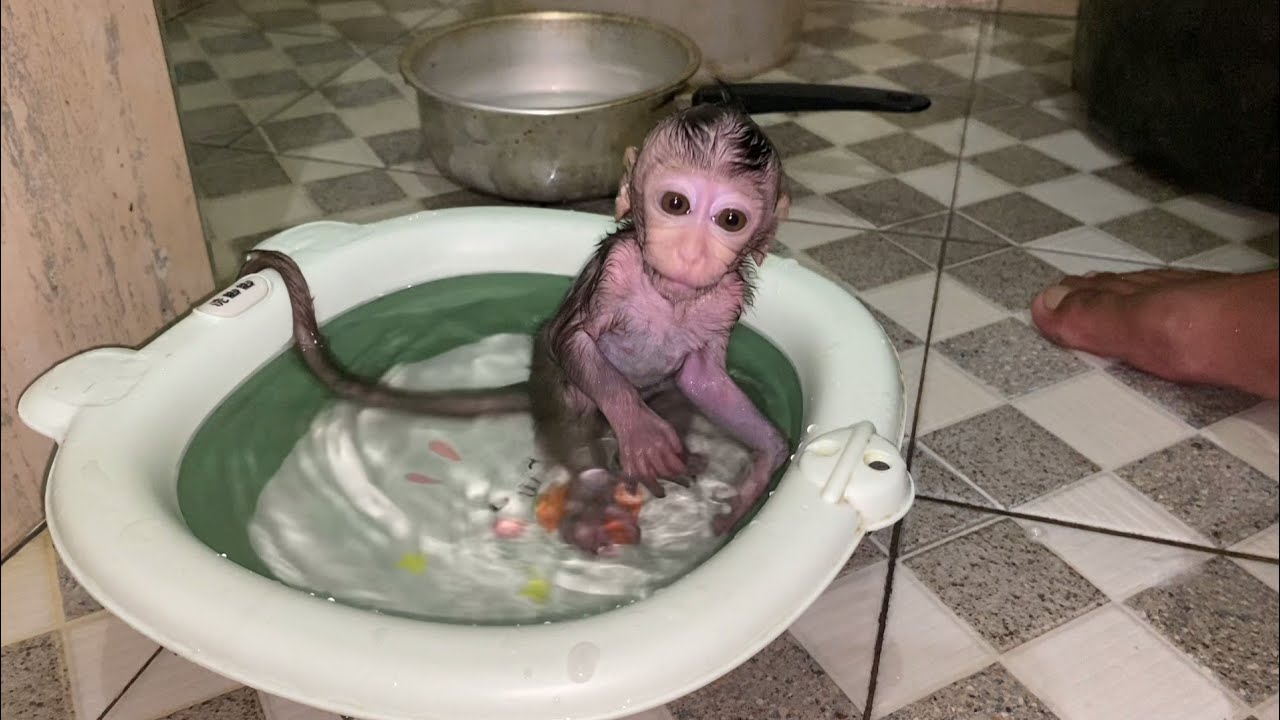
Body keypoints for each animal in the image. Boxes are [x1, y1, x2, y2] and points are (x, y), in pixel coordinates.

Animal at [239, 98, 792, 556]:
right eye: (675, 204)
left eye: (730, 219)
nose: (692, 252)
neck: (669, 294)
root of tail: (530, 385)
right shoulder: (615, 269)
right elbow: (573, 339)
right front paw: (637, 429)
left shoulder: (727, 297)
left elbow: (704, 380)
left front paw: (766, 461)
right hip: (553, 388)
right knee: (577, 417)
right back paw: (592, 495)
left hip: (660, 392)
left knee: (677, 399)